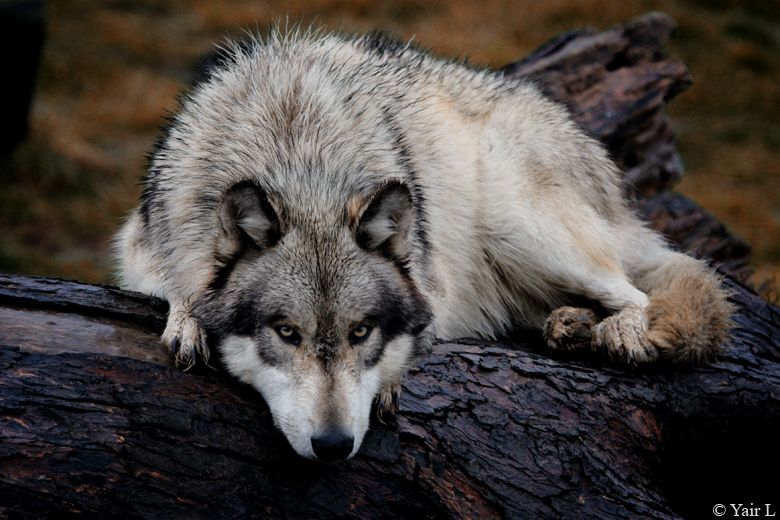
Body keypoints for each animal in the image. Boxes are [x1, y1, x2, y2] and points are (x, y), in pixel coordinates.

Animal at [114, 26, 732, 462]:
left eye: (361, 332)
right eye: (286, 334)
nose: (333, 445)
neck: (301, 159)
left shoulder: (429, 282)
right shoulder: (139, 245)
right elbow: (176, 282)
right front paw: (187, 319)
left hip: (519, 224)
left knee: (639, 293)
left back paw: (618, 332)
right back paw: (572, 327)